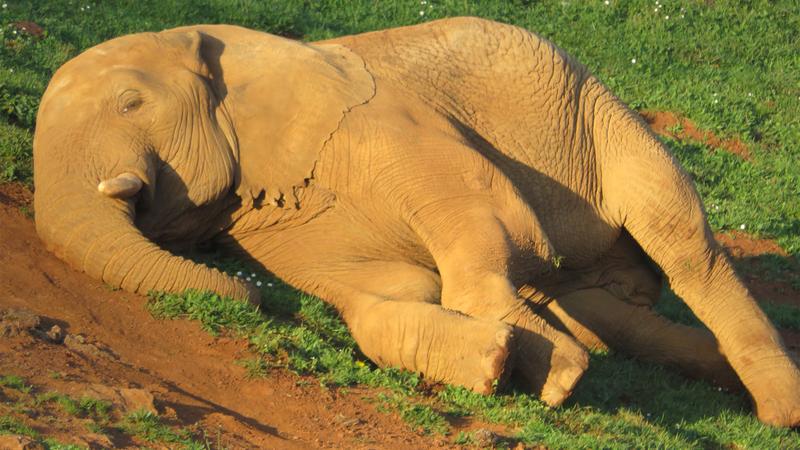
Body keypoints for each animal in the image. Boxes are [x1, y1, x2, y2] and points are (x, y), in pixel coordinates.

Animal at [32, 16, 800, 426]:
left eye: (130, 103)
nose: (253, 296)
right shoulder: (275, 222)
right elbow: (385, 298)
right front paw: (499, 361)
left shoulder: (372, 121)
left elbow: (482, 207)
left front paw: (552, 377)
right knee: (612, 316)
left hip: (604, 117)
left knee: (684, 246)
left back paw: (778, 411)